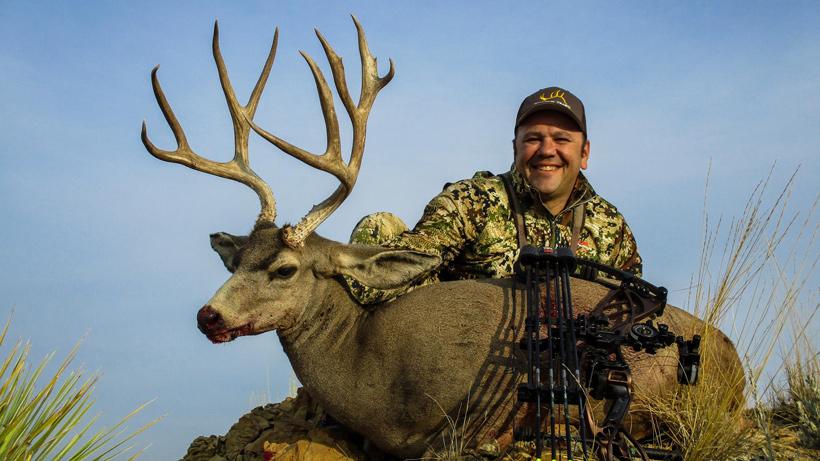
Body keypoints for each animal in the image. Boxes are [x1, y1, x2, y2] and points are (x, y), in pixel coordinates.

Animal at [141, 18, 743, 459]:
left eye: (285, 268)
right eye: (235, 260)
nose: (209, 316)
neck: (368, 363)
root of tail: (733, 358)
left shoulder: (459, 422)